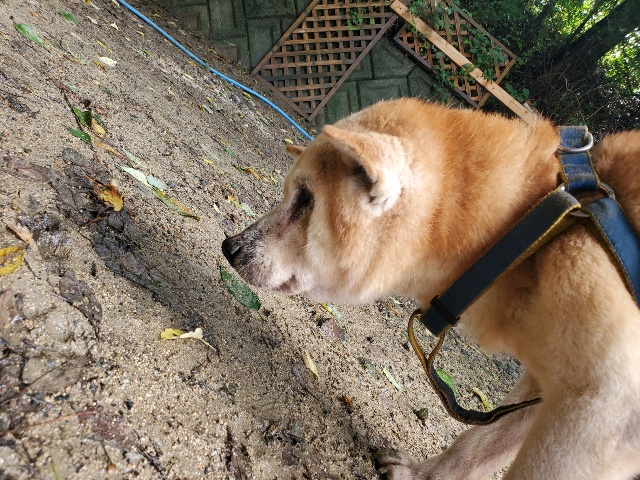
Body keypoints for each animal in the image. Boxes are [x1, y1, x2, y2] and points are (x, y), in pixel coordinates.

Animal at [221, 98, 640, 479]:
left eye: (306, 199)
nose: (230, 247)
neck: (529, 227)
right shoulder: (547, 386)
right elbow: (478, 444)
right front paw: (419, 475)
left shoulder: (606, 402)